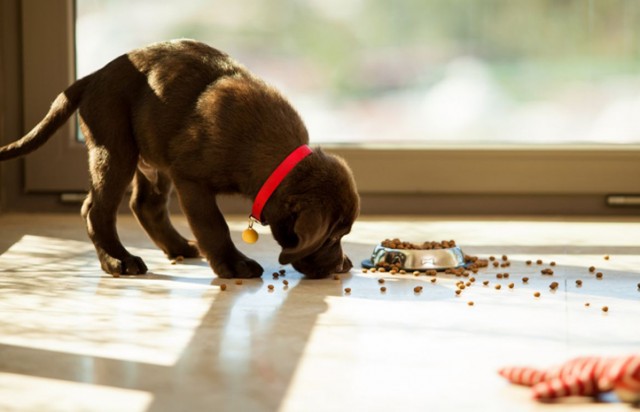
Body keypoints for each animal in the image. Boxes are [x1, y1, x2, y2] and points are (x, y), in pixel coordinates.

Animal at [0, 39, 358, 276]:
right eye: (332, 237)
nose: (340, 267)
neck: (273, 157)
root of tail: (93, 77)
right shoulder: (192, 180)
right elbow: (213, 225)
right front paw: (234, 264)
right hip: (115, 149)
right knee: (96, 210)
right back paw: (118, 261)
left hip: (152, 158)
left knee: (145, 205)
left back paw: (179, 248)